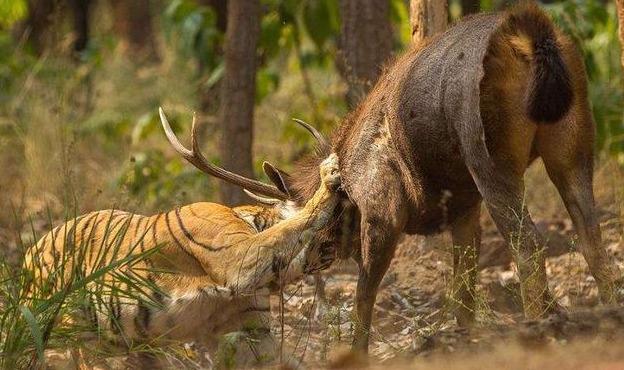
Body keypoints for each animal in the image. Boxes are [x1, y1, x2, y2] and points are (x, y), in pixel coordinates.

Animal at [23, 107, 342, 368]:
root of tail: (29, 253)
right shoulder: (239, 258)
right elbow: (295, 222)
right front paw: (329, 174)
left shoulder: (252, 334)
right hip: (67, 334)